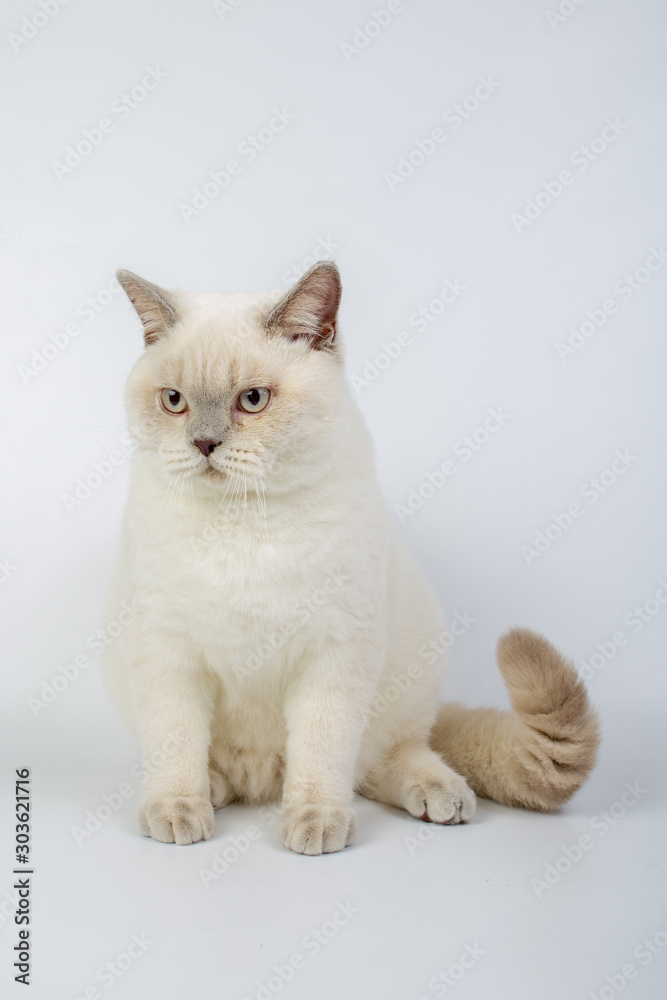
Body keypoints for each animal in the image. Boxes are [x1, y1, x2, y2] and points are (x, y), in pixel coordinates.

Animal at [99, 262, 600, 856]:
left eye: (253, 400)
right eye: (174, 401)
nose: (203, 443)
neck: (243, 523)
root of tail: (261, 783)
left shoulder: (334, 653)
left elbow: (322, 752)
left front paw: (316, 823)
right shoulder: (166, 651)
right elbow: (176, 744)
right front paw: (178, 811)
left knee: (386, 758)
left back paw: (439, 797)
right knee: (221, 765)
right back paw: (215, 791)